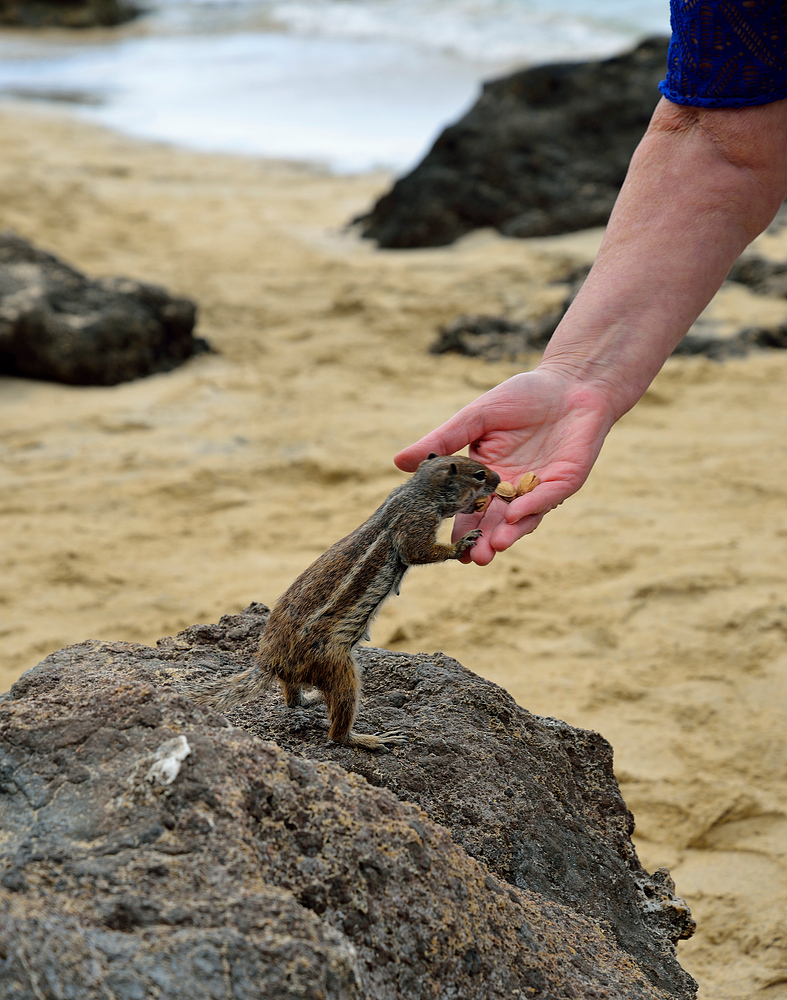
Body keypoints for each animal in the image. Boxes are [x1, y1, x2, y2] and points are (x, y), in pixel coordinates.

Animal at [192, 454, 498, 752]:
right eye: (479, 474)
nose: (498, 479)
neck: (417, 492)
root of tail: (269, 661)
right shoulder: (416, 522)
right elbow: (419, 552)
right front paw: (462, 543)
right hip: (339, 668)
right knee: (336, 731)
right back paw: (370, 739)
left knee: (292, 700)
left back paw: (311, 699)